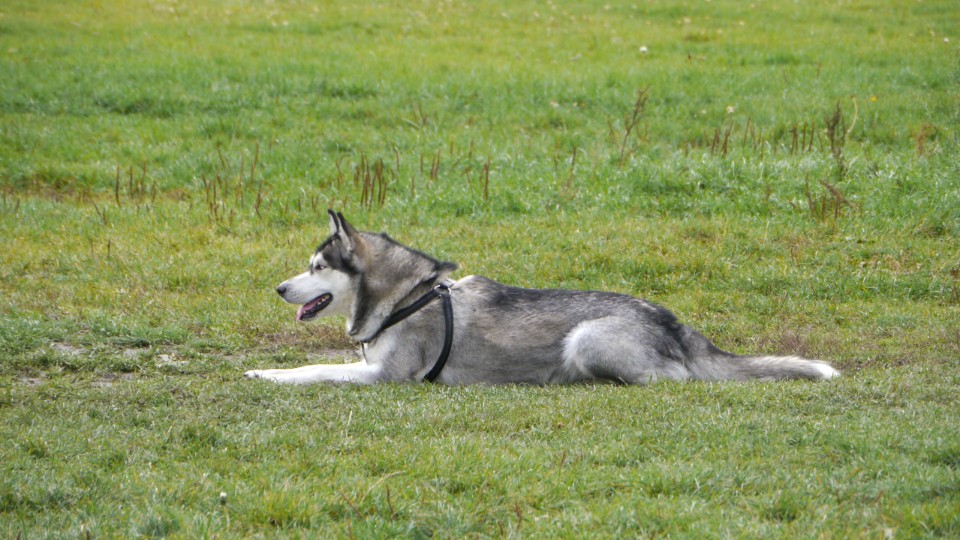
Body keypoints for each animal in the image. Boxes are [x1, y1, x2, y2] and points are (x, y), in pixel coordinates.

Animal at [244, 211, 839, 385]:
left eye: (317, 267)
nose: (279, 288)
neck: (410, 296)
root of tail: (674, 321)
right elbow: (316, 361)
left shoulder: (386, 378)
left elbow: (312, 371)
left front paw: (268, 376)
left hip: (588, 338)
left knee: (675, 379)